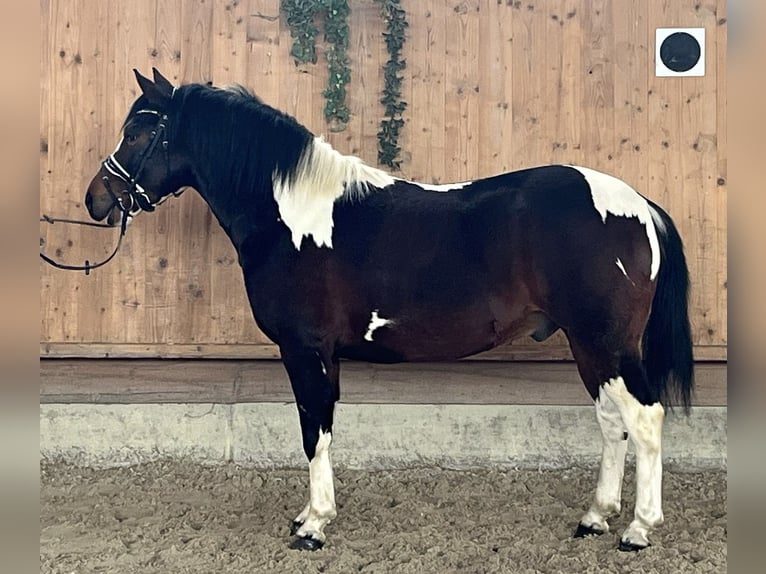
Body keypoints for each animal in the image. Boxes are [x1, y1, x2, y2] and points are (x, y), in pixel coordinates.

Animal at [84, 68, 693, 552]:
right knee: (612, 423)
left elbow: (313, 430)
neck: (292, 216)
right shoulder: (321, 354)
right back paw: (595, 518)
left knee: (645, 419)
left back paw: (638, 530)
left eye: (139, 131)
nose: (95, 199)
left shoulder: (305, 350)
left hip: (606, 342)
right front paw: (308, 516)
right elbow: (322, 429)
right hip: (590, 347)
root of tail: (638, 205)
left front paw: (314, 526)